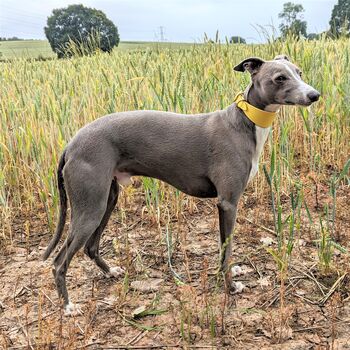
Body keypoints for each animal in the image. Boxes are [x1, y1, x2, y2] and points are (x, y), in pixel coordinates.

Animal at [43, 54, 320, 314]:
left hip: (107, 199)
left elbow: (224, 247)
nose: (315, 95)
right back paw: (68, 306)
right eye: (280, 78)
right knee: (59, 262)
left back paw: (110, 272)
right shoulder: (228, 203)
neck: (244, 122)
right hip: (91, 206)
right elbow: (227, 248)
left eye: (299, 72)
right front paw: (230, 287)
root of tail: (71, 145)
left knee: (91, 247)